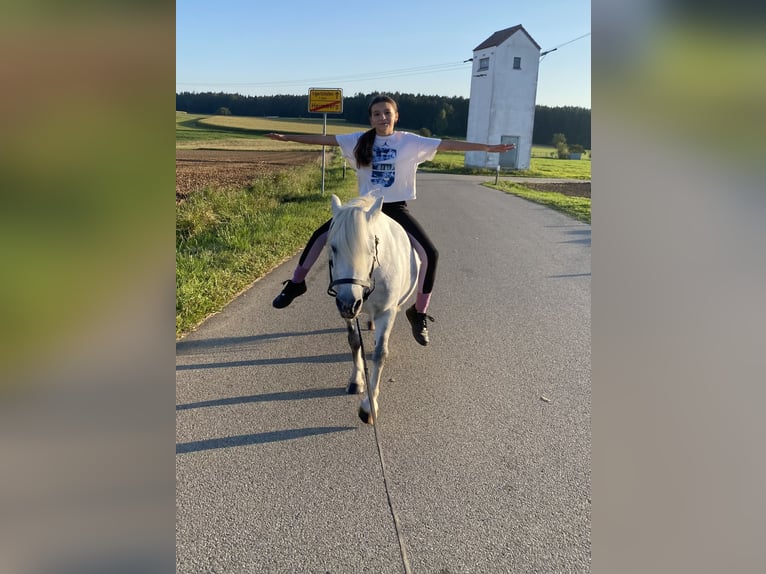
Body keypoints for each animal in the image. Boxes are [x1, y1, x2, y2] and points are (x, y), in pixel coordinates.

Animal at [326, 196, 420, 426]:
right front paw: (356, 381)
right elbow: (354, 342)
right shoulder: (348, 309)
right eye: (333, 247)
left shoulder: (386, 312)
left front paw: (369, 407)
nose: (348, 303)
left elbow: (379, 355)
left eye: (371, 248)